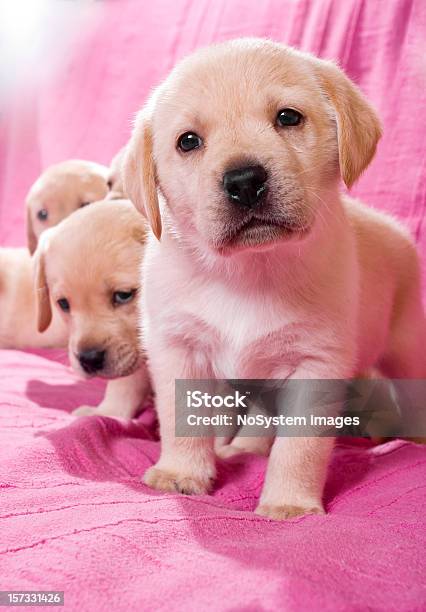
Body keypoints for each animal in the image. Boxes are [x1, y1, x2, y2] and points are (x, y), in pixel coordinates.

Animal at [122, 38, 426, 520]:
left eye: (288, 117)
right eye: (188, 141)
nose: (245, 181)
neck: (250, 270)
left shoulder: (316, 362)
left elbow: (298, 447)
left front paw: (289, 504)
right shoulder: (177, 346)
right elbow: (183, 419)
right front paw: (181, 473)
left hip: (406, 345)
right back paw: (244, 447)